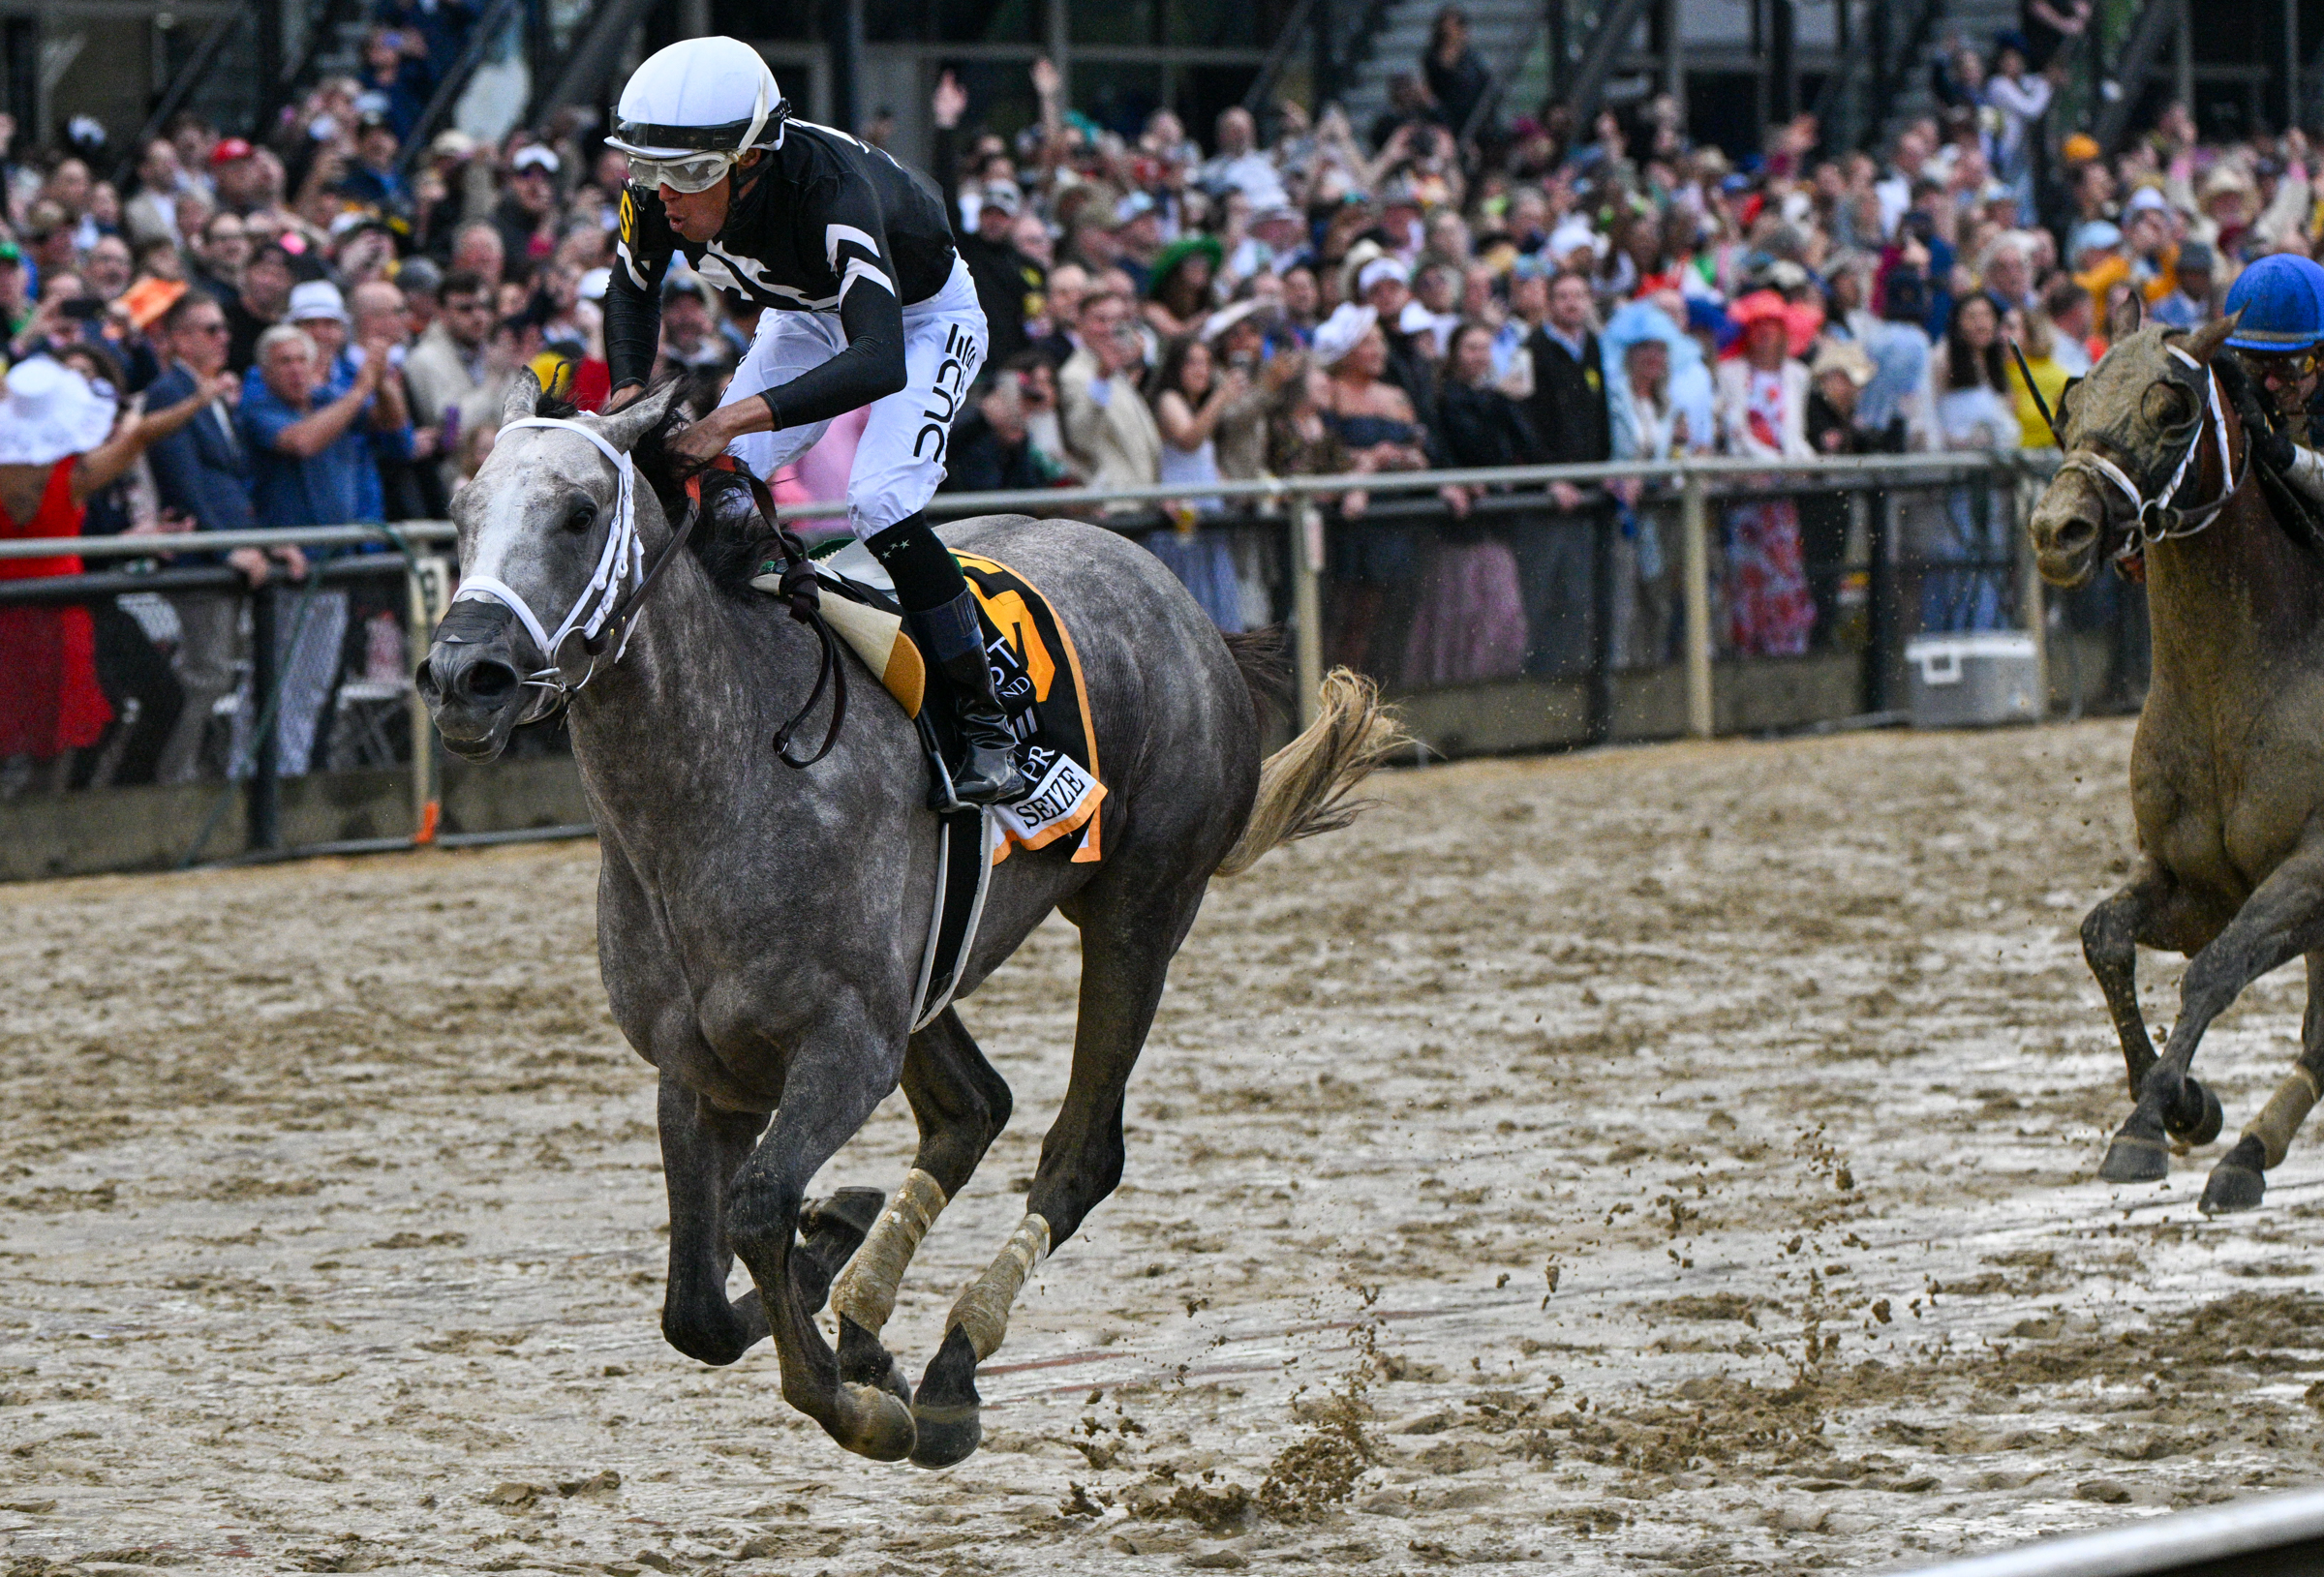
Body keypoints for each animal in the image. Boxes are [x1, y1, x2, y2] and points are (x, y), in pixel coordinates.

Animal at [2026, 318, 2324, 1207]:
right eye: (2073, 401)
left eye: (2171, 407)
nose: (2058, 529)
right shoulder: (2197, 882)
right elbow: (2104, 935)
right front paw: (2188, 1105)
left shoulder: (2313, 868)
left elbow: (2218, 969)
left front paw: (2144, 1125)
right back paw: (2250, 1150)